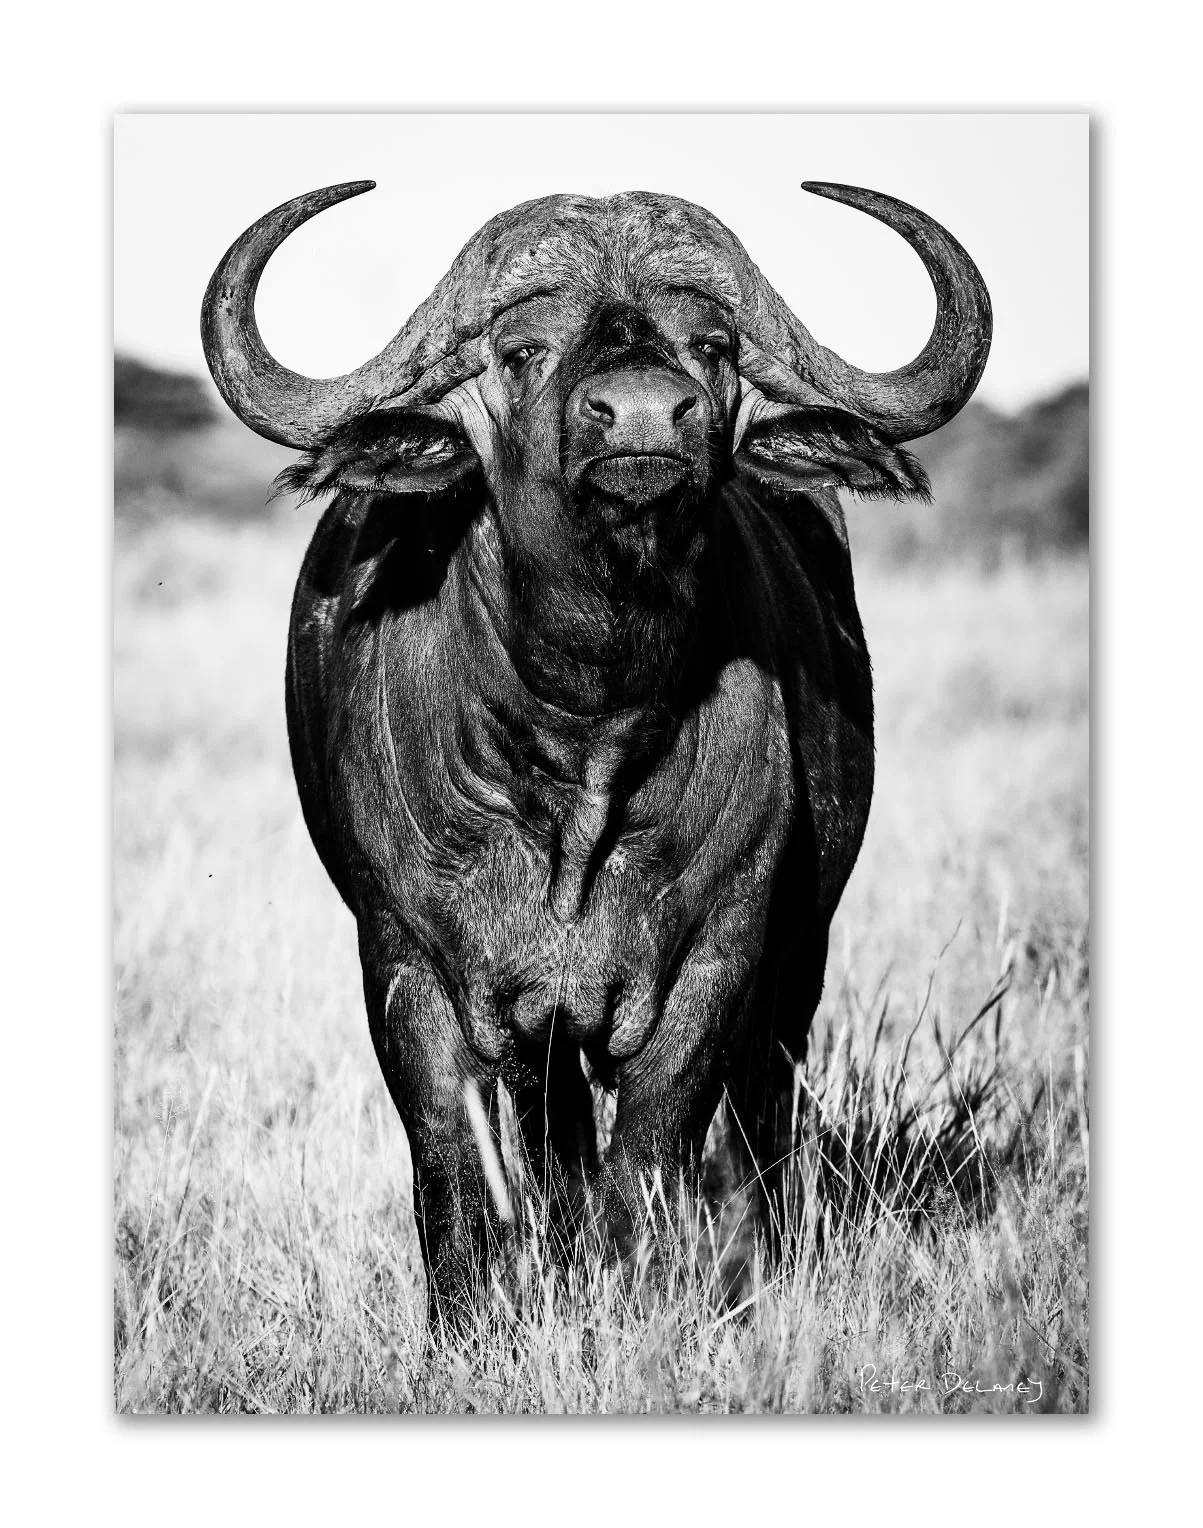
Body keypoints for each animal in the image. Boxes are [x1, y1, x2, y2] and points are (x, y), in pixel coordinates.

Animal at [201, 179, 991, 1326]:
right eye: (523, 349)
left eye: (711, 344)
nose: (648, 417)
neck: (584, 739)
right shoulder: (408, 966)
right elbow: (455, 1166)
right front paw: (470, 1323)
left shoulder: (720, 955)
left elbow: (651, 1154)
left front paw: (635, 1296)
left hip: (800, 955)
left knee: (762, 1118)